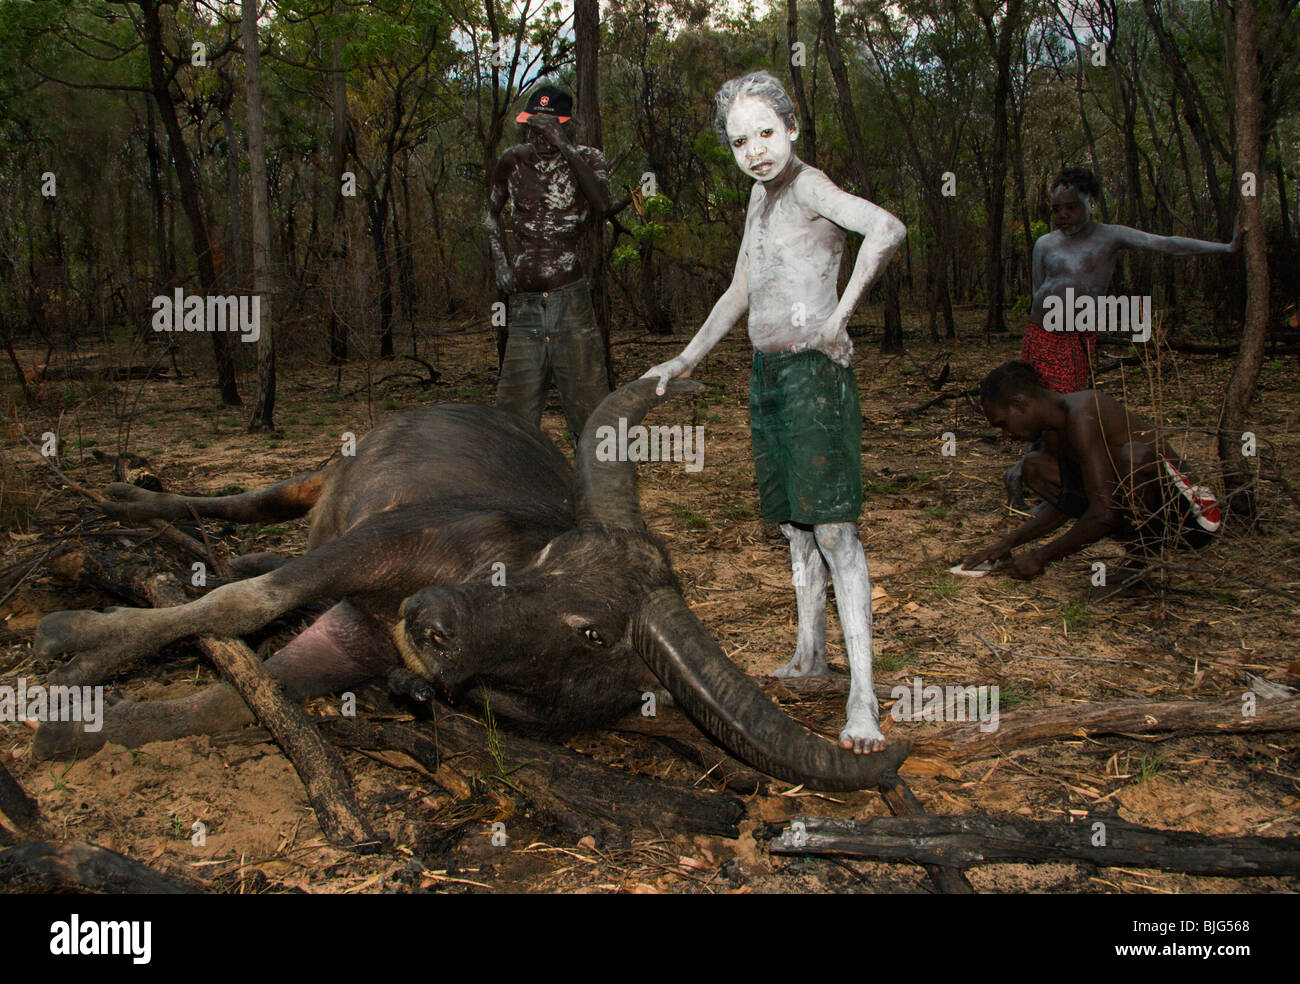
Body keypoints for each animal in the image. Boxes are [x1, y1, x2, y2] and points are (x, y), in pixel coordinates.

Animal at [30, 376, 904, 790]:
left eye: (592, 634)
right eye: (547, 560)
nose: (432, 621)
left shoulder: (352, 643)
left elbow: (232, 700)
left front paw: (84, 725)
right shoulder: (378, 545)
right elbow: (246, 606)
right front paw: (77, 641)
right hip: (318, 481)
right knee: (245, 507)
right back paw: (129, 498)